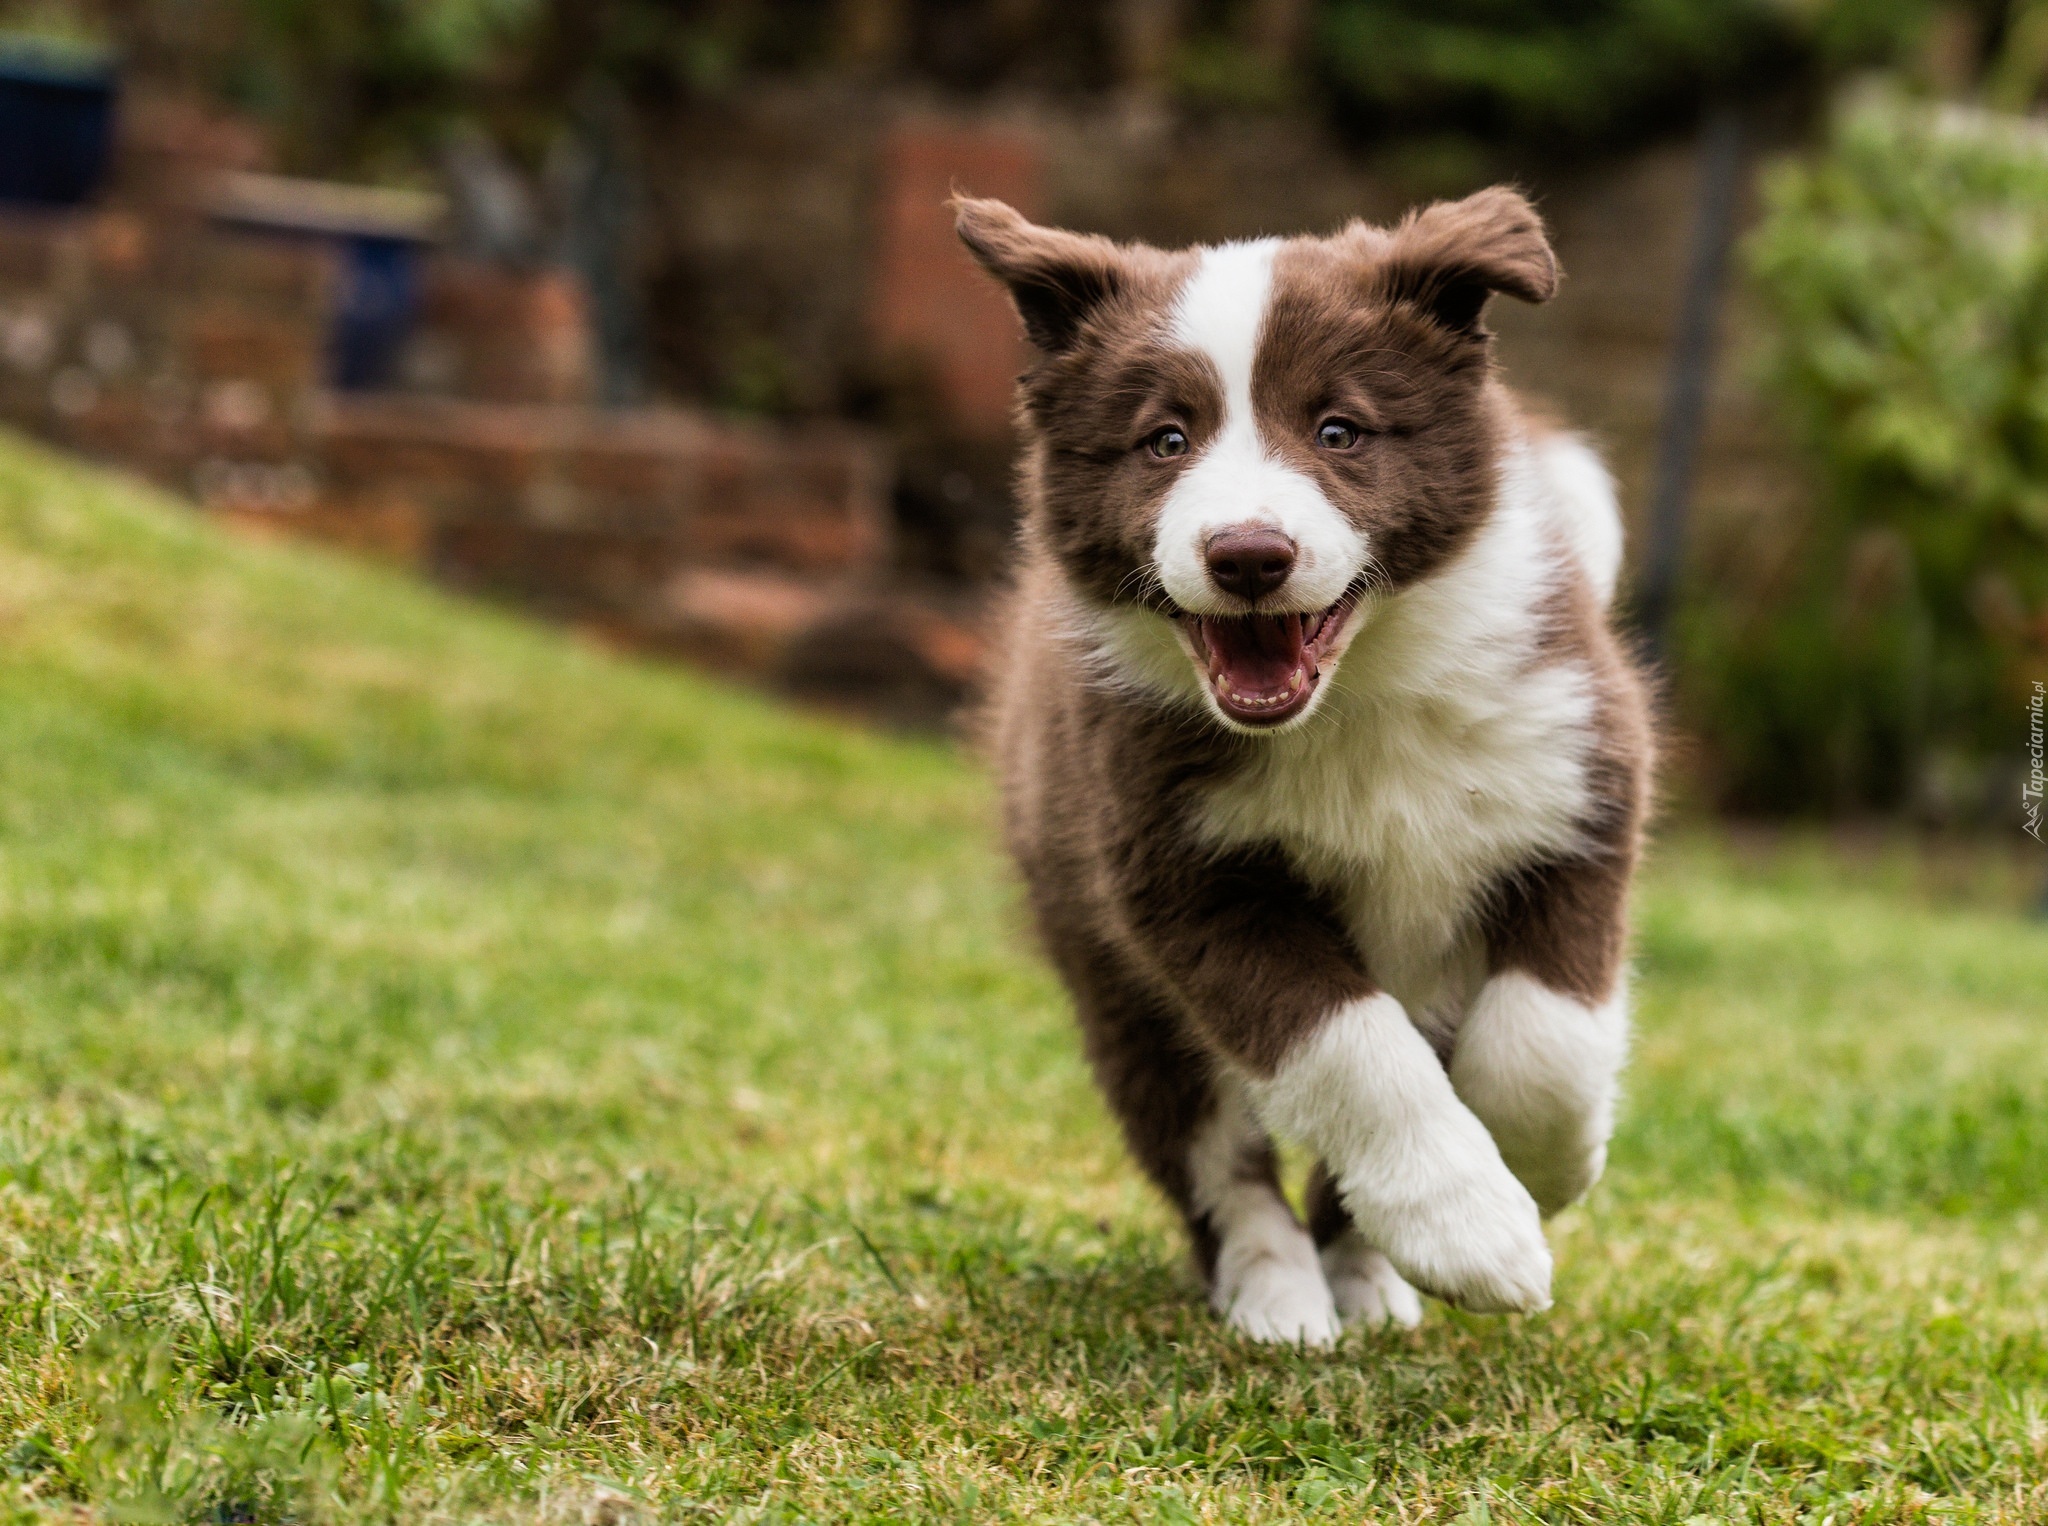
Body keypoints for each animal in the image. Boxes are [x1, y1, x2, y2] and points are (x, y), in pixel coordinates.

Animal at [954, 193, 1646, 1343]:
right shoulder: (1183, 873)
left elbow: (1545, 1039)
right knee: (1210, 1157)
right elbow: (1350, 1052)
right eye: (1165, 440)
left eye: (1339, 431)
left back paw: (1365, 1275)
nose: (1246, 555)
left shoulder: (1576, 786)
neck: (1357, 694)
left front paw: (1539, 1173)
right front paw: (1471, 1229)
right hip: (1114, 984)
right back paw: (1277, 1291)